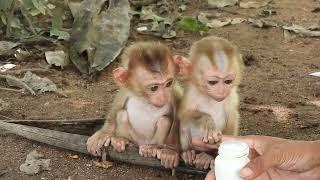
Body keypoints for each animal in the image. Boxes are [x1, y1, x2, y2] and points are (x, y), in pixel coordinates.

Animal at [175, 36, 242, 169]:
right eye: (213, 82)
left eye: (228, 81)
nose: (222, 91)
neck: (210, 97)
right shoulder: (191, 93)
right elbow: (183, 113)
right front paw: (208, 121)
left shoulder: (231, 96)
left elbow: (232, 118)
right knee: (185, 122)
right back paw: (188, 152)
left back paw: (207, 156)